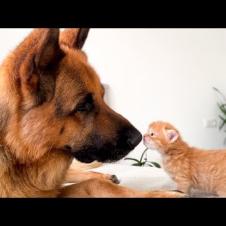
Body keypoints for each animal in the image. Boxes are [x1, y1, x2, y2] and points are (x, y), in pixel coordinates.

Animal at [0, 28, 184, 198]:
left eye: (103, 95)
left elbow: (95, 183)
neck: (15, 151)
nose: (139, 139)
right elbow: (92, 183)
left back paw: (106, 176)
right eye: (83, 105)